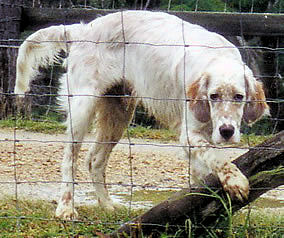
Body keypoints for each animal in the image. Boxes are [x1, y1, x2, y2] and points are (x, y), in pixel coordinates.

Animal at [15, 10, 268, 219]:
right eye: (213, 96)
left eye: (239, 97)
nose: (227, 131)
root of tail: (82, 29)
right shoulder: (190, 134)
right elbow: (217, 157)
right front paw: (236, 181)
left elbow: (202, 171)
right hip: (82, 107)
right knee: (69, 159)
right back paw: (66, 208)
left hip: (119, 113)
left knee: (94, 161)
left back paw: (107, 205)